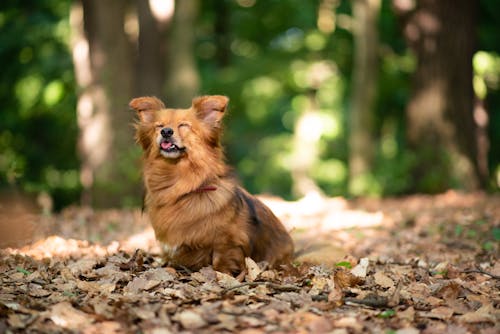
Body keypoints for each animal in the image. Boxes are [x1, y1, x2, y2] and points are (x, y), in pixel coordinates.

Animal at [130, 95, 292, 276]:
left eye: (184, 125)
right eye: (159, 126)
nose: (166, 131)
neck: (180, 183)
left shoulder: (227, 241)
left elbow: (220, 260)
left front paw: (221, 274)